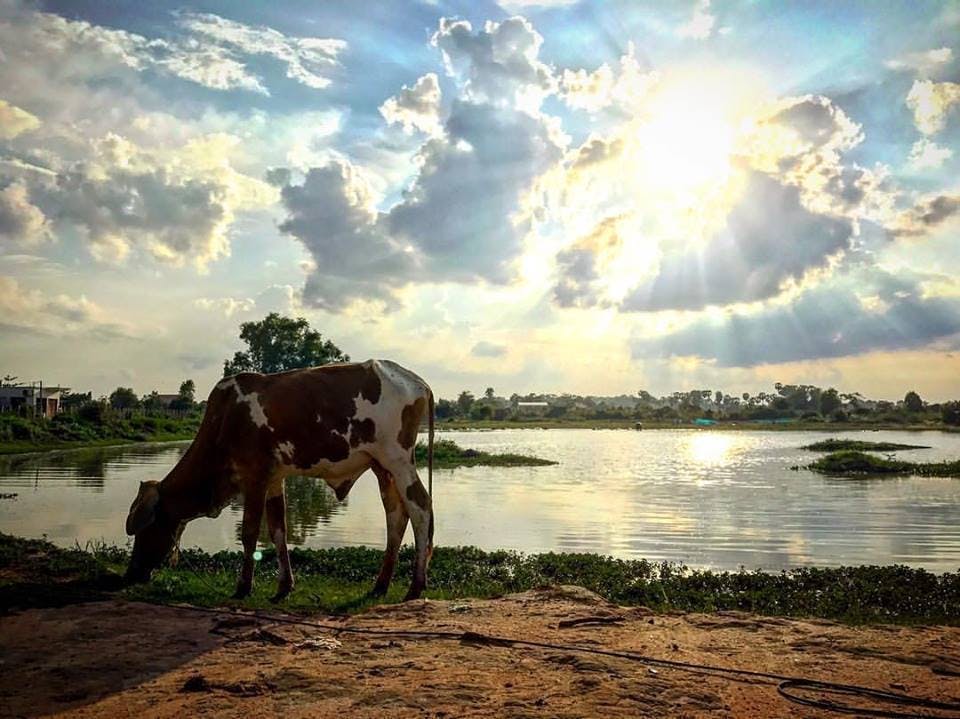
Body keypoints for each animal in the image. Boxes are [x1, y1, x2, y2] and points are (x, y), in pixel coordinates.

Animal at [124, 360, 436, 600]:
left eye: (144, 528)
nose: (131, 573)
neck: (223, 420)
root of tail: (417, 381)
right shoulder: (274, 480)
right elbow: (277, 532)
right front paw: (284, 586)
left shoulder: (255, 478)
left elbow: (250, 533)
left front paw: (243, 587)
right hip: (382, 468)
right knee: (396, 516)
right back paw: (380, 585)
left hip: (398, 460)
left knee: (420, 508)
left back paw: (415, 586)